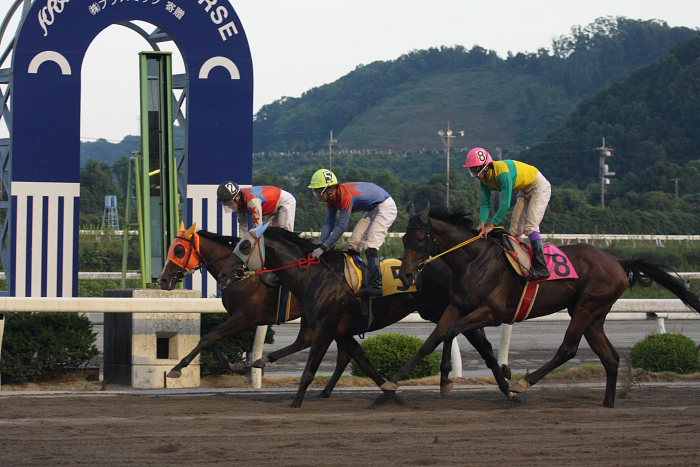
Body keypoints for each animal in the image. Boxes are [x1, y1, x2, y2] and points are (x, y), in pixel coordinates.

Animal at [159, 225, 508, 400]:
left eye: (178, 249)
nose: (163, 280)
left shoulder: (248, 316)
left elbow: (211, 335)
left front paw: (176, 370)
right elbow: (214, 339)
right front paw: (236, 365)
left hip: (435, 309)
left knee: (474, 337)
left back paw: (500, 377)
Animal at [394, 207, 700, 408]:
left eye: (420, 239)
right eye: (404, 239)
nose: (406, 275)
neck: (474, 260)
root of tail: (618, 261)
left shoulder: (492, 313)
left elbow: (450, 333)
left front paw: (447, 381)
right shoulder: (457, 306)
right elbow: (433, 339)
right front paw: (393, 381)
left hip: (586, 306)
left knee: (568, 349)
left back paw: (522, 383)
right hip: (594, 315)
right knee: (610, 357)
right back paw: (608, 403)